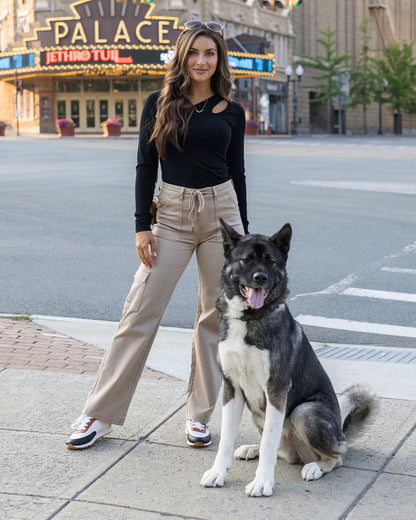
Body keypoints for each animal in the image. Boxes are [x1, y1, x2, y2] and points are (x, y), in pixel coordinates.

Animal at [200, 218, 378, 496]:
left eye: (271, 261)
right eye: (246, 259)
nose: (260, 278)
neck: (250, 318)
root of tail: (340, 435)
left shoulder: (277, 389)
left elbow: (269, 443)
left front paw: (262, 482)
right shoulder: (232, 388)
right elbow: (228, 440)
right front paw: (218, 472)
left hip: (304, 412)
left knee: (335, 457)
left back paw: (315, 467)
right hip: (254, 411)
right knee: (283, 452)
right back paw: (252, 449)